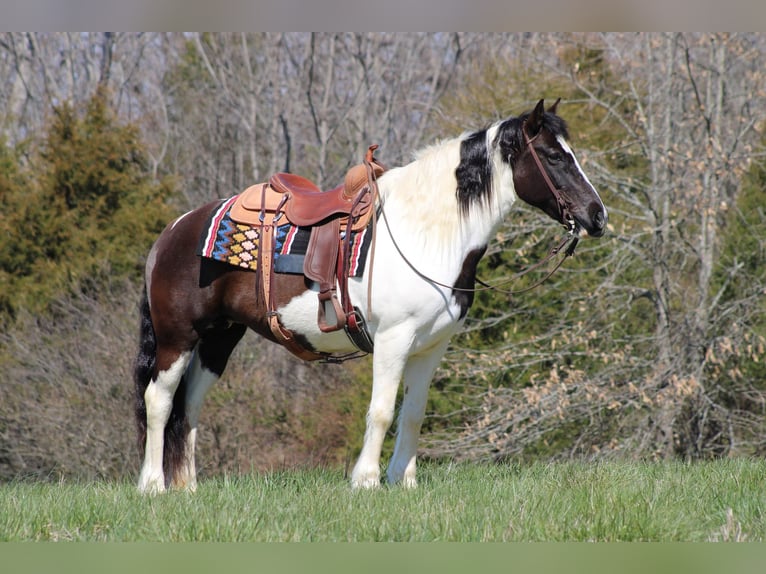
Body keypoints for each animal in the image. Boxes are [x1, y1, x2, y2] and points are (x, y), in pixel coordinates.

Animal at [135, 99, 608, 496]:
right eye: (554, 156)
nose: (597, 216)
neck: (427, 233)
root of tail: (173, 232)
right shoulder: (393, 339)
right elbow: (381, 410)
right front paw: (365, 480)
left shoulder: (432, 346)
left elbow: (413, 412)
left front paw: (404, 481)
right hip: (177, 337)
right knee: (159, 401)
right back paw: (153, 485)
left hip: (219, 339)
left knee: (190, 405)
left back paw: (188, 488)